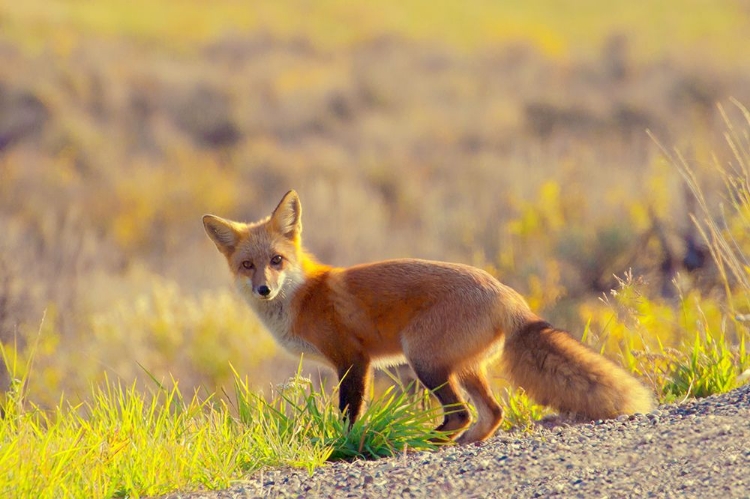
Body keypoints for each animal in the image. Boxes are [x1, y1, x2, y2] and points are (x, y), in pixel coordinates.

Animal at [203, 191, 656, 446]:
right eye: (248, 266)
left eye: (277, 261)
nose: (264, 289)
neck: (304, 295)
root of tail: (508, 295)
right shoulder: (355, 362)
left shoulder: (353, 360)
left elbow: (349, 415)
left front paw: (345, 448)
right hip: (463, 367)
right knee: (492, 413)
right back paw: (457, 443)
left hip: (424, 359)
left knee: (462, 413)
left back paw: (417, 441)